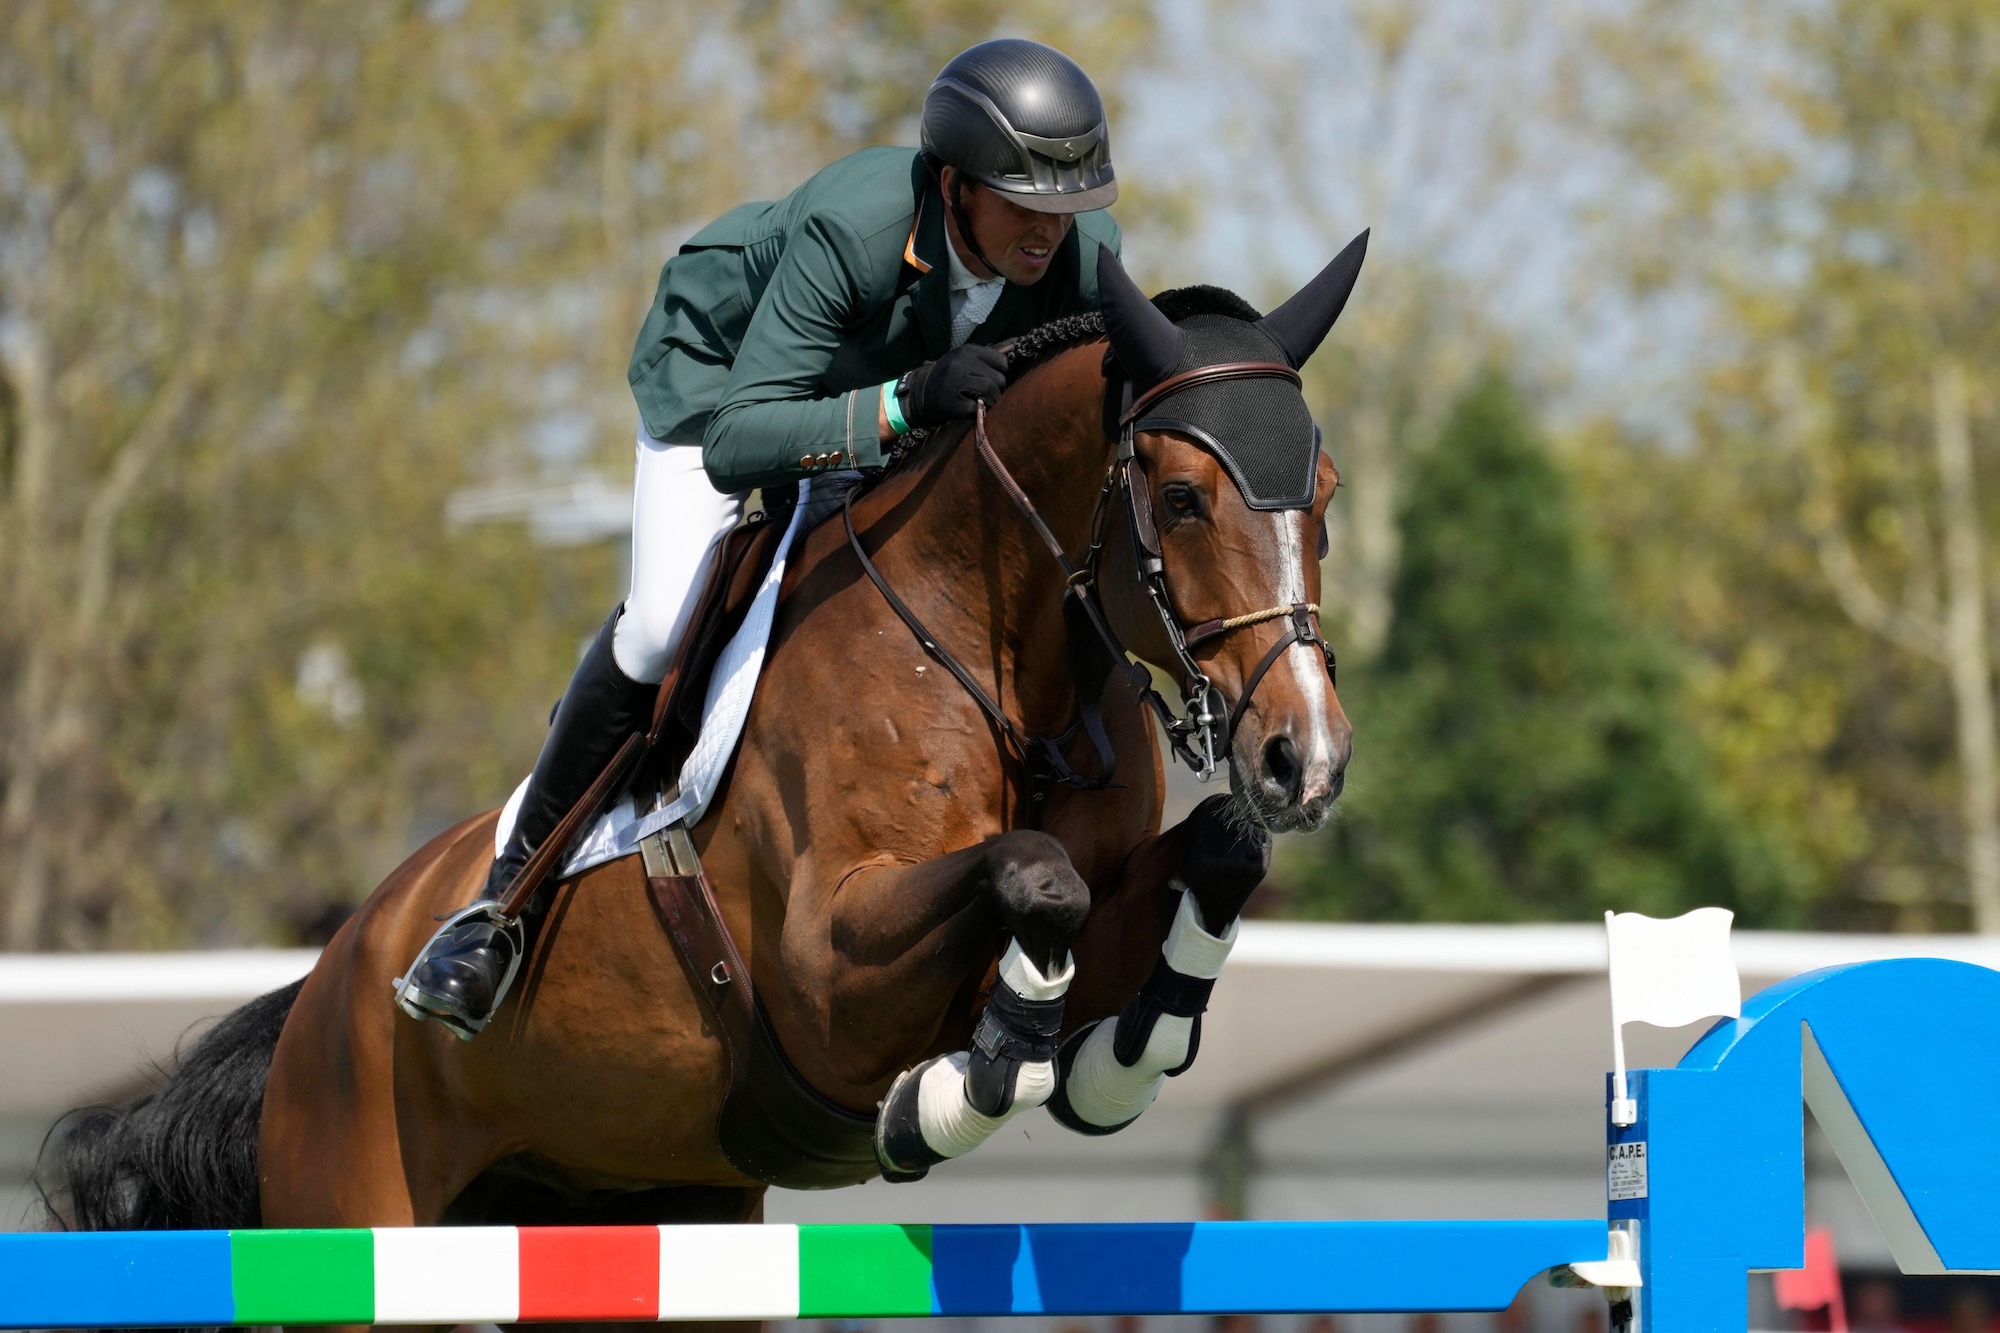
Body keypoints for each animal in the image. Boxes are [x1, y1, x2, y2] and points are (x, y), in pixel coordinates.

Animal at [51, 244, 1361, 1312]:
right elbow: (1031, 877)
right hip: (357, 1195)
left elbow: (1208, 859)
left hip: (636, 1199)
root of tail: (330, 977)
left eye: (1326, 496)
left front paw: (1111, 1060)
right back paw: (464, 958)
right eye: (1181, 497)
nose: (1304, 755)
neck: (993, 653)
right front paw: (957, 1089)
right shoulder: (826, 975)